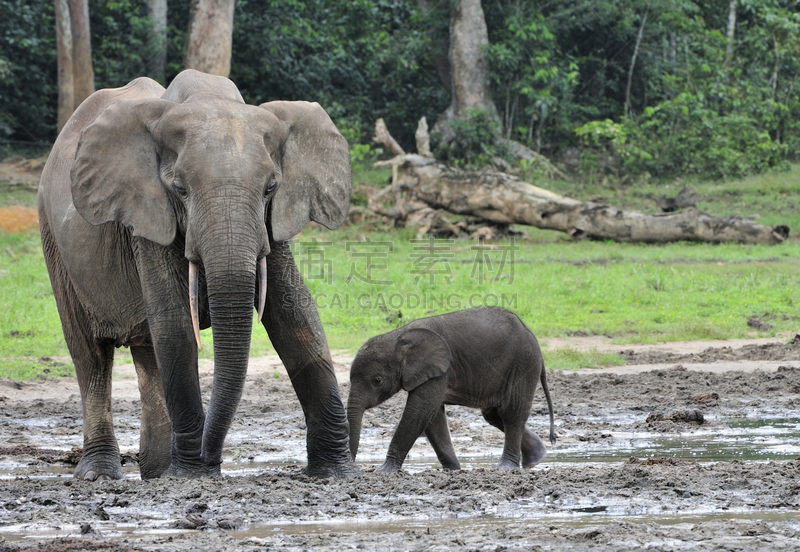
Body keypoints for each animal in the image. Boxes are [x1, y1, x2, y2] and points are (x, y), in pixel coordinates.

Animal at [39, 71, 358, 480]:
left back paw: (156, 471)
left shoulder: (271, 225)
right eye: (180, 189)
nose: (212, 457)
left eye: (270, 187)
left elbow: (297, 316)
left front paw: (335, 474)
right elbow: (175, 323)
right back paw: (101, 473)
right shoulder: (148, 214)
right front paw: (192, 475)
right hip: (53, 238)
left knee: (148, 349)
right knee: (90, 355)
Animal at [346, 306, 552, 474]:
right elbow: (432, 417)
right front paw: (453, 470)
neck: (398, 337)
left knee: (510, 413)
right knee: (493, 414)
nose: (357, 469)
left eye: (377, 381)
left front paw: (384, 471)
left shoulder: (439, 369)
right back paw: (536, 458)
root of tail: (530, 334)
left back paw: (506, 467)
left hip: (523, 363)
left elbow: (420, 410)